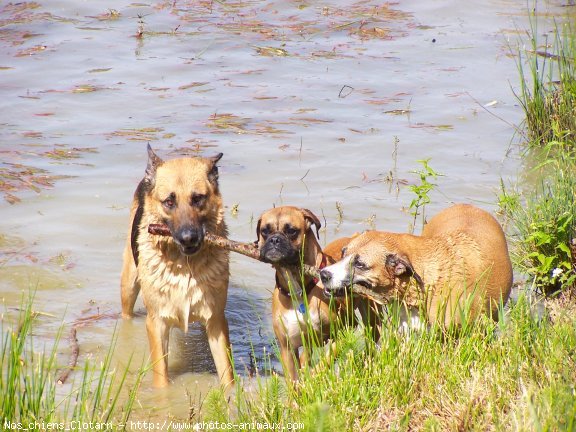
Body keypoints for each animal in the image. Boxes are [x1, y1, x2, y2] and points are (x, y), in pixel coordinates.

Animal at [119, 145, 234, 388]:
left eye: (198, 199)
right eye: (169, 202)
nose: (188, 238)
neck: (184, 266)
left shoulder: (216, 321)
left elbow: (227, 374)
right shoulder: (157, 325)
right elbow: (161, 377)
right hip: (128, 286)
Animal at [258, 208, 356, 380]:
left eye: (291, 231)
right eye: (265, 231)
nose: (274, 240)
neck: (299, 289)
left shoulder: (345, 330)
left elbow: (326, 360)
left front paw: (314, 376)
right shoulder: (287, 348)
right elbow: (293, 379)